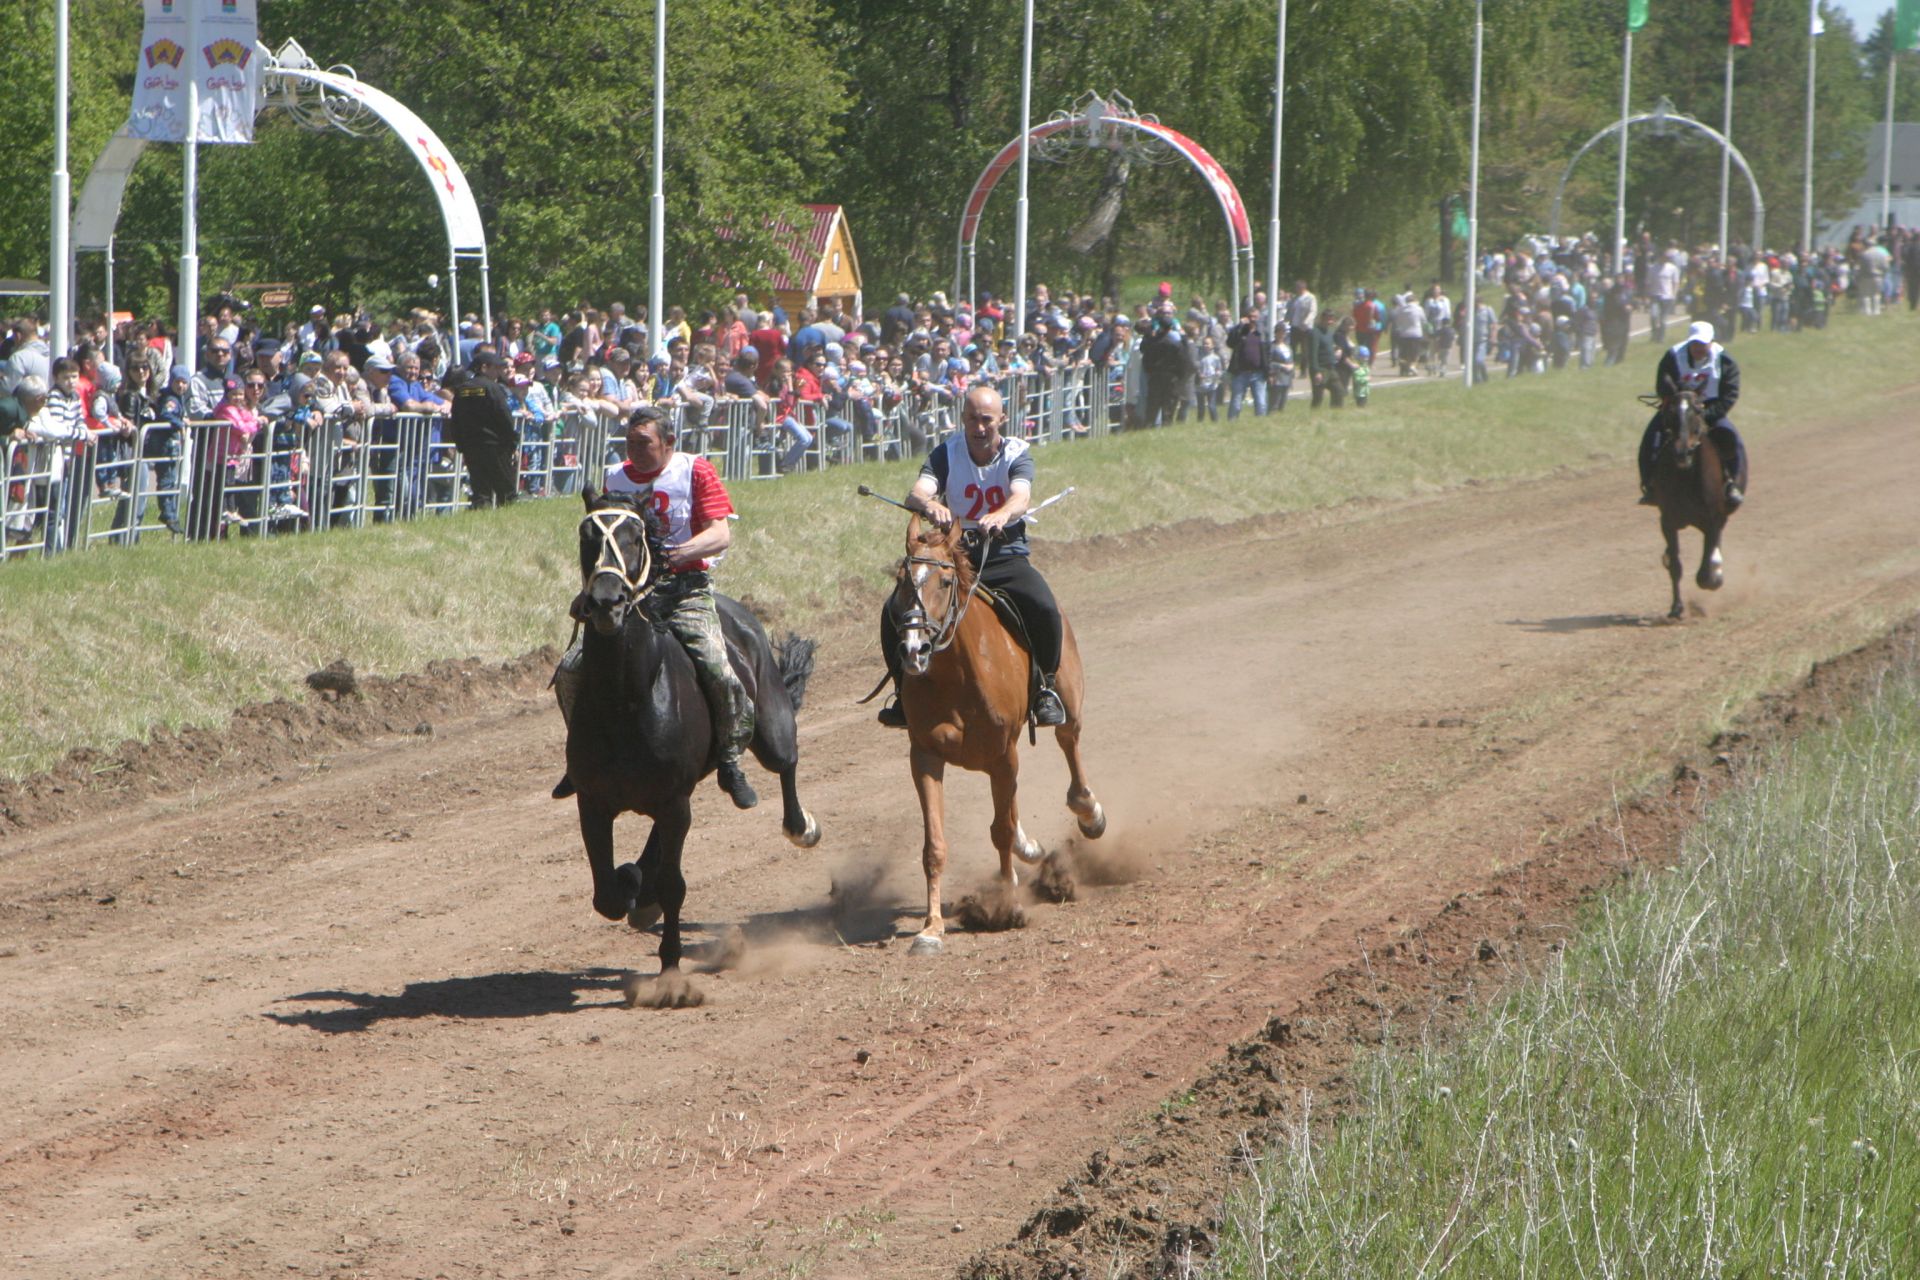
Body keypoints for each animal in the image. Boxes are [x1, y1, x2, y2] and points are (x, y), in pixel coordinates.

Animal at [560, 485, 817, 997]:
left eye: (635, 535)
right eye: (586, 536)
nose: (606, 601)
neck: (626, 699)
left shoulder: (673, 801)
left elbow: (674, 884)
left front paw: (671, 973)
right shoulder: (593, 802)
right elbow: (606, 894)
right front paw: (634, 886)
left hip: (769, 726)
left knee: (786, 762)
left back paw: (800, 826)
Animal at [887, 518, 1113, 951]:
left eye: (944, 581)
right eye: (902, 582)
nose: (913, 649)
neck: (955, 674)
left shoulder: (1003, 753)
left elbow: (1001, 831)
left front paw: (1008, 906)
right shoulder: (923, 757)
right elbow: (934, 845)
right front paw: (931, 927)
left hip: (1066, 705)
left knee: (1069, 747)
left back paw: (1089, 813)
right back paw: (1030, 847)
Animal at [1643, 385, 1751, 621]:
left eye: (1698, 411)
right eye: (1671, 412)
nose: (1682, 451)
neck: (1687, 474)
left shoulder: (1713, 520)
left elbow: (1706, 568)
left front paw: (1714, 578)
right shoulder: (1668, 522)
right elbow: (1675, 565)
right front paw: (1676, 608)